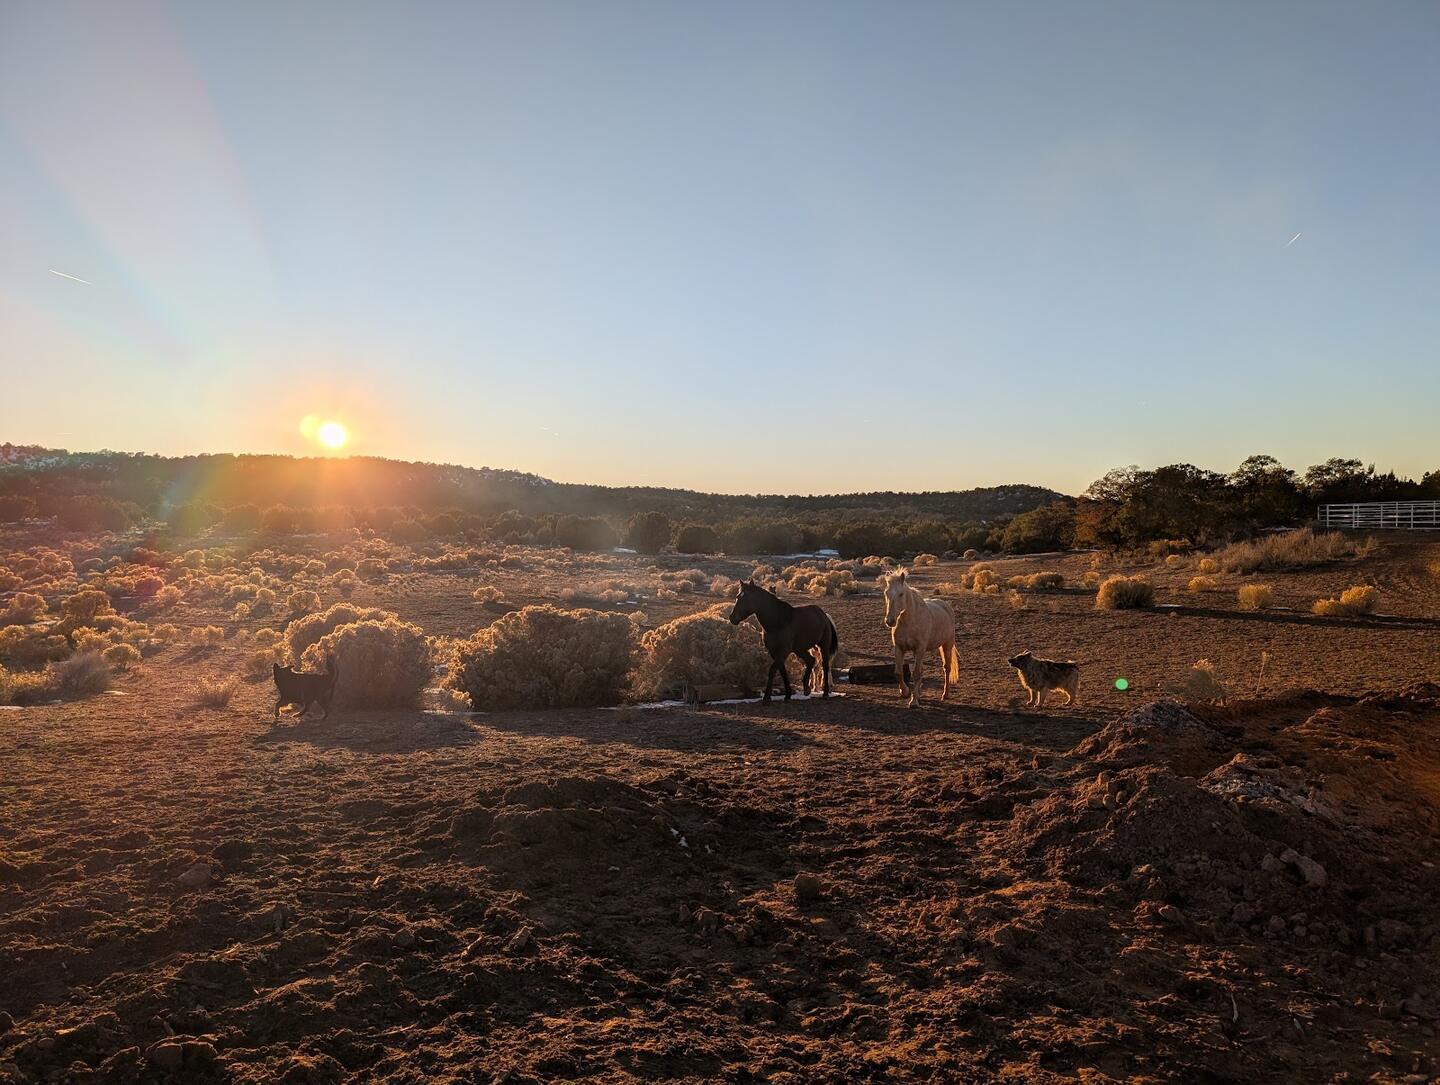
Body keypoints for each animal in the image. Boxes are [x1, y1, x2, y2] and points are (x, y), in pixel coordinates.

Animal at [881, 569, 959, 707]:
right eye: (886, 593)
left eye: (901, 594)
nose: (889, 621)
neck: (909, 621)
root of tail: (945, 605)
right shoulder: (899, 648)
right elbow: (898, 672)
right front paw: (905, 692)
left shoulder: (920, 648)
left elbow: (916, 673)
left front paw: (913, 701)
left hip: (947, 646)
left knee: (947, 668)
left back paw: (945, 694)